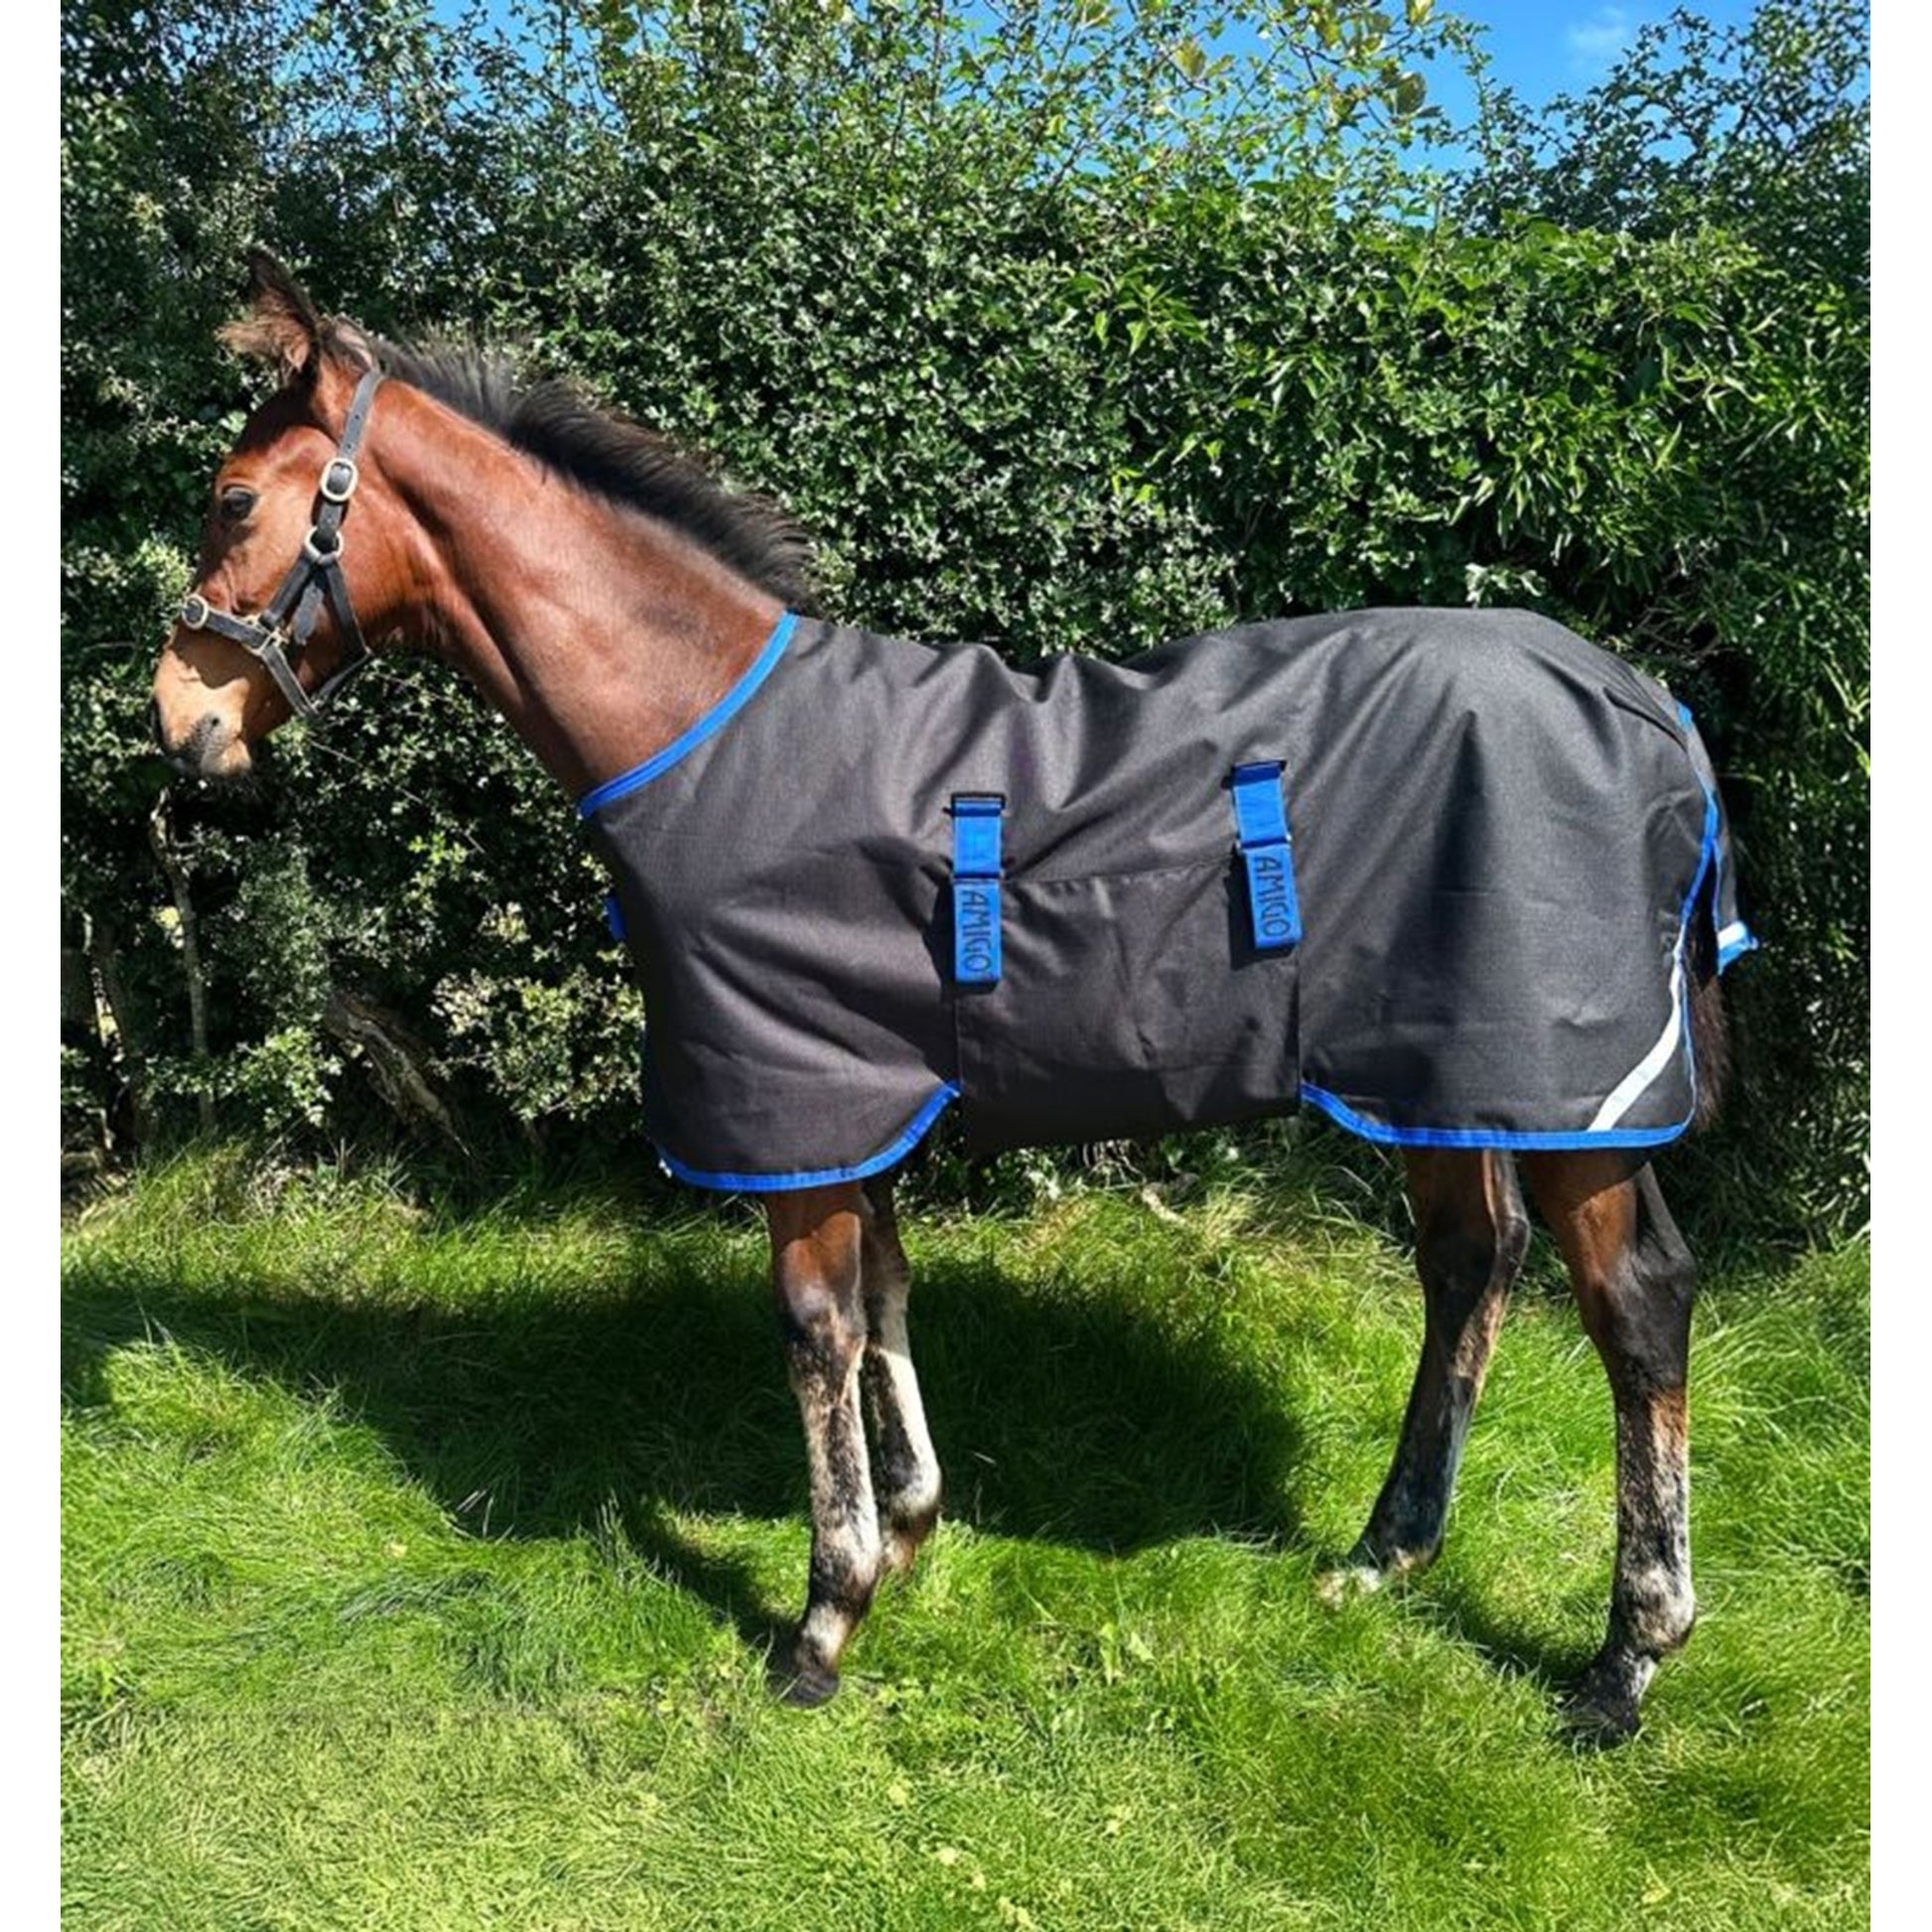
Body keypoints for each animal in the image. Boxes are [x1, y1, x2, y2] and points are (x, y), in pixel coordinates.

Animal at [150, 251, 1754, 1743]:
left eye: (232, 499)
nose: (180, 720)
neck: (707, 730)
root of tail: (1647, 703)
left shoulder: (793, 1102)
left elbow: (814, 1327)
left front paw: (824, 1615)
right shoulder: (849, 1093)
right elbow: (883, 1288)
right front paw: (911, 1528)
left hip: (1570, 1094)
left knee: (1634, 1306)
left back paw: (1626, 1658)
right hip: (1443, 1076)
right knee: (1468, 1265)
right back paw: (1384, 1553)